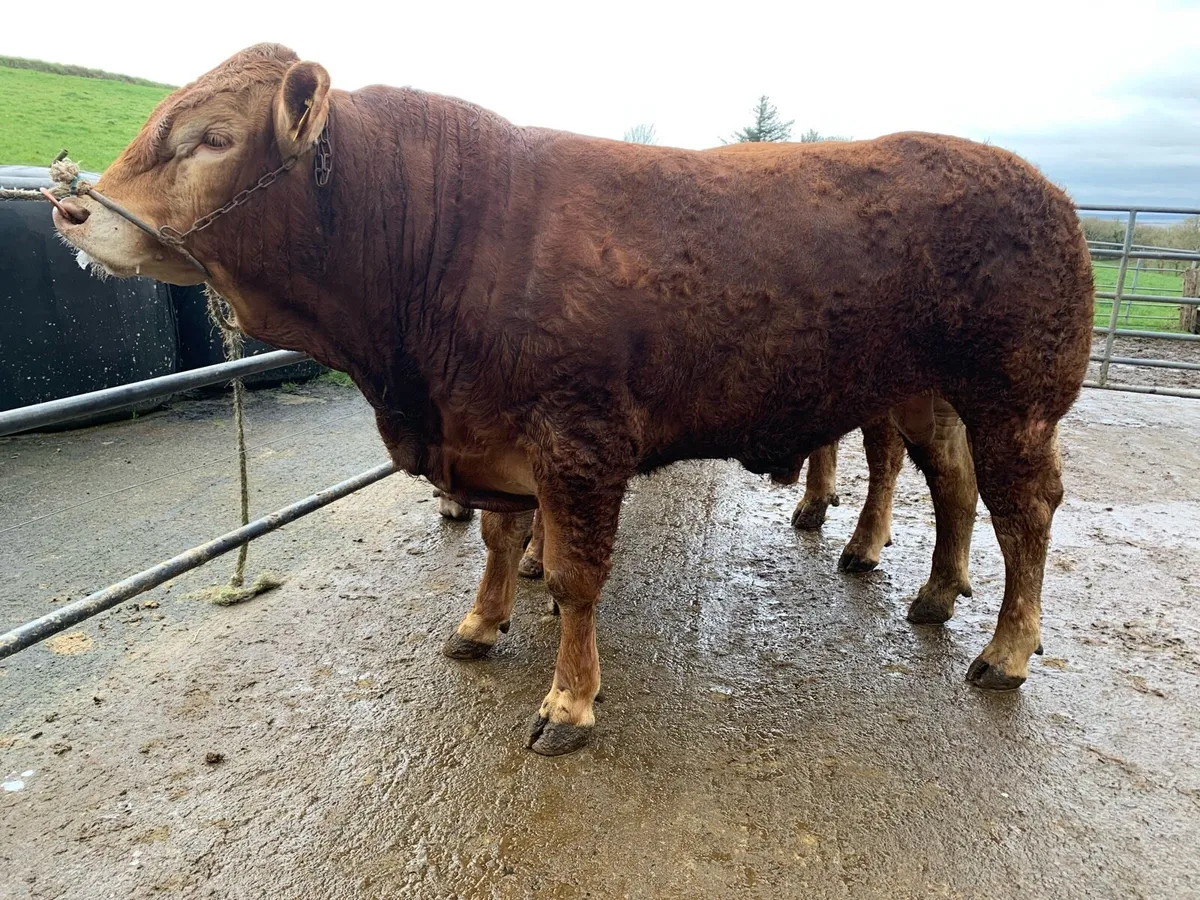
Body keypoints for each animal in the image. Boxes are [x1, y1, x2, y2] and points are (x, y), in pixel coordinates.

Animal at [52, 44, 1093, 756]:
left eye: (213, 138)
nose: (71, 206)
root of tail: (1038, 182)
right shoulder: (493, 433)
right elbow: (501, 538)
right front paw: (481, 623)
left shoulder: (580, 442)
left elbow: (578, 576)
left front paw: (570, 702)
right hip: (928, 396)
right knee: (954, 486)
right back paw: (933, 592)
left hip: (1017, 400)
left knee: (1025, 513)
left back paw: (1005, 650)